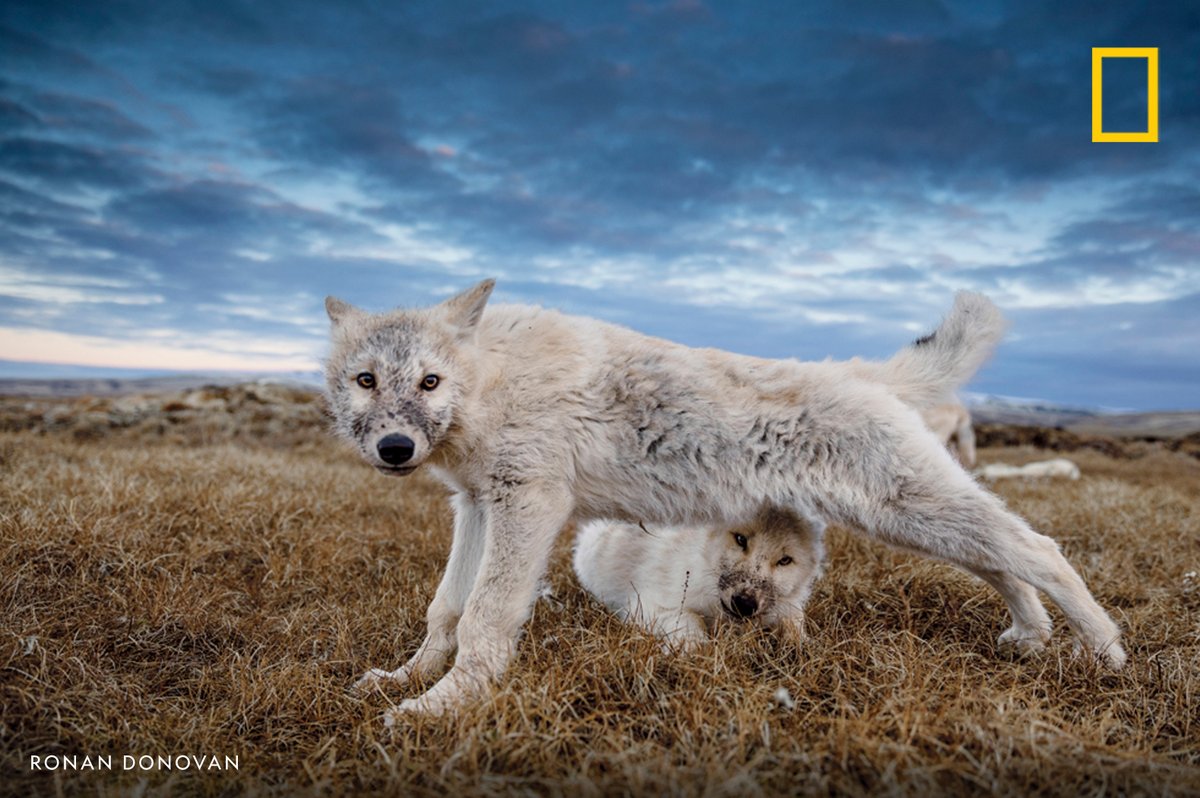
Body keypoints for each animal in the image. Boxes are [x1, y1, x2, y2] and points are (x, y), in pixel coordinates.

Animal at [573, 505, 825, 648]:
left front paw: (803, 645)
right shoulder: (648, 606)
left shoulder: (787, 606)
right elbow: (689, 620)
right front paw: (695, 651)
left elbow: (795, 622)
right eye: (740, 540)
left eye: (785, 560)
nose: (744, 604)